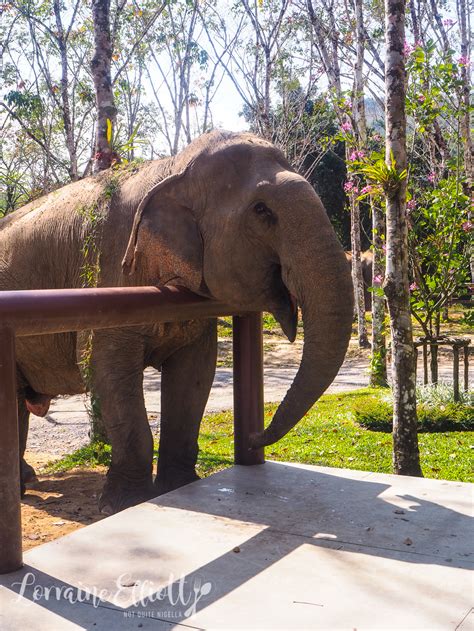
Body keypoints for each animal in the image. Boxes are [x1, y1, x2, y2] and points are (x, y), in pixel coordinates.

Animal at [0, 131, 354, 516]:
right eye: (262, 211)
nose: (254, 438)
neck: (171, 167)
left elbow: (194, 372)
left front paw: (181, 487)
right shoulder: (109, 271)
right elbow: (103, 368)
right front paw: (124, 504)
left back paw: (26, 481)